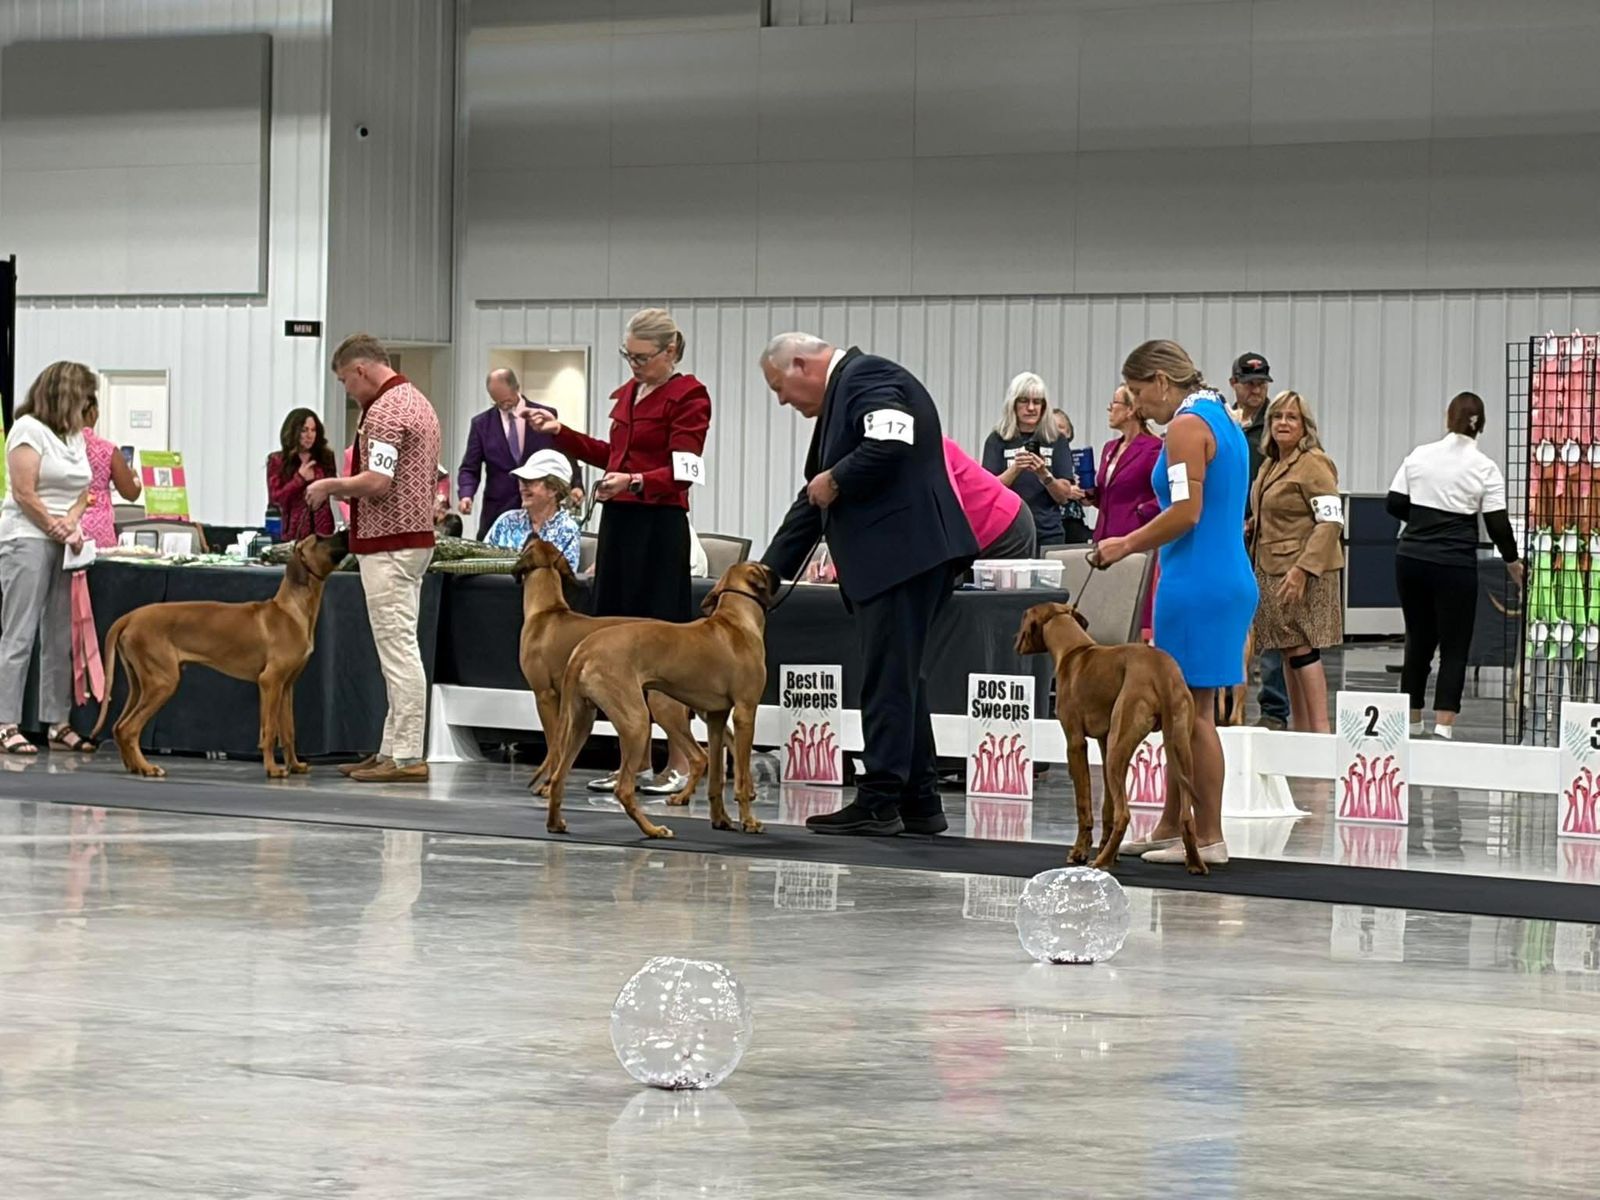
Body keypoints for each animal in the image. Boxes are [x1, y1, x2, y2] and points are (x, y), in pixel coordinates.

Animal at [91, 531, 350, 779]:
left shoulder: (286, 686)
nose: (346, 531)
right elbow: (269, 730)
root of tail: (129, 617)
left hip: (140, 682)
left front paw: (294, 765)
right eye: (319, 538)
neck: (291, 611)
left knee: (118, 727)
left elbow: (288, 731)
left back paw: (134, 766)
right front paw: (273, 769)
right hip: (162, 682)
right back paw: (148, 768)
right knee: (129, 728)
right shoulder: (270, 682)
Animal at [511, 536, 706, 802]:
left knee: (694, 754)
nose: (531, 533)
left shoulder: (545, 697)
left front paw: (546, 786)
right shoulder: (566, 701)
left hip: (662, 706)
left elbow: (553, 746)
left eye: (530, 543)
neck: (547, 611)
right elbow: (561, 747)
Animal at [543, 561, 778, 840]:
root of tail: (583, 649)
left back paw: (555, 823)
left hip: (580, 723)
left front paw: (720, 819)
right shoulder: (745, 713)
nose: (778, 575)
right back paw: (653, 830)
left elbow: (716, 779)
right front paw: (749, 821)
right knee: (624, 789)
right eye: (765, 568)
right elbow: (740, 778)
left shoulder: (716, 719)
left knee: (558, 778)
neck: (735, 622)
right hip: (638, 722)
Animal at [1015, 602, 1206, 874]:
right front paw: (1109, 850)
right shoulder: (1105, 744)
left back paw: (1101, 862)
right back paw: (1195, 863)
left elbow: (1084, 805)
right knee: (1185, 815)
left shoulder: (1075, 743)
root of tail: (1161, 672)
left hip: (1121, 745)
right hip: (1176, 749)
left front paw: (1080, 852)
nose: (1015, 641)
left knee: (1124, 813)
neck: (1074, 650)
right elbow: (1107, 807)